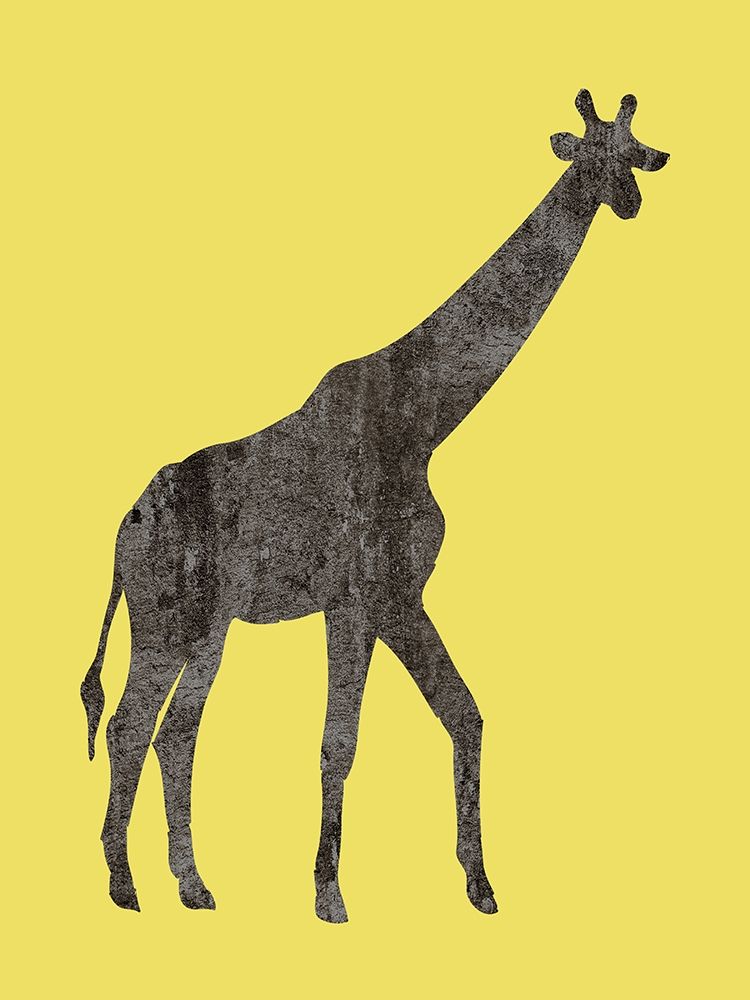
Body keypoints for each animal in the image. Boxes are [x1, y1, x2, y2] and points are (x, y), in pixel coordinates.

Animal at [81, 90, 668, 920]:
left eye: (634, 146)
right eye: (594, 152)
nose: (630, 197)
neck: (425, 418)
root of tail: (120, 532)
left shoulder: (397, 595)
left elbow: (464, 712)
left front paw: (480, 886)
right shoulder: (361, 595)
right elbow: (340, 741)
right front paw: (329, 895)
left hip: (208, 625)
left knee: (173, 734)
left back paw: (190, 886)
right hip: (168, 619)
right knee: (134, 726)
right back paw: (126, 887)